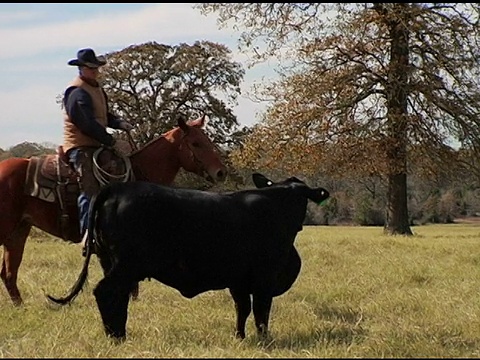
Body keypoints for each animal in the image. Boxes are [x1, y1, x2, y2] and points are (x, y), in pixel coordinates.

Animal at [47, 173, 330, 342]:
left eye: (302, 197)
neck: (276, 206)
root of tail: (116, 188)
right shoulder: (265, 277)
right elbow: (261, 311)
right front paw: (264, 340)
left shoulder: (238, 280)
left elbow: (242, 309)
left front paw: (239, 337)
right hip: (124, 266)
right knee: (105, 292)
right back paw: (116, 336)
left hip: (110, 263)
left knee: (118, 296)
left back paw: (118, 332)